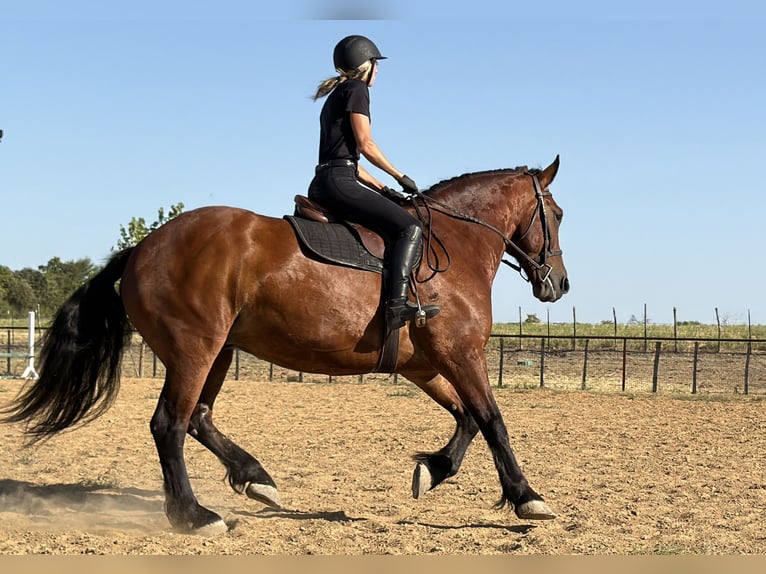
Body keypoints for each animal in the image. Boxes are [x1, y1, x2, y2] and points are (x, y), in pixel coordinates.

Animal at [1, 155, 569, 534]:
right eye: (558, 215)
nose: (558, 285)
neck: (453, 245)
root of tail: (143, 246)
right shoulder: (460, 354)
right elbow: (493, 420)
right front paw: (528, 499)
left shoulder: (426, 364)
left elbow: (467, 418)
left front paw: (431, 472)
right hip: (194, 350)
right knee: (170, 424)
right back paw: (195, 515)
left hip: (219, 351)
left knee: (199, 418)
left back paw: (256, 478)